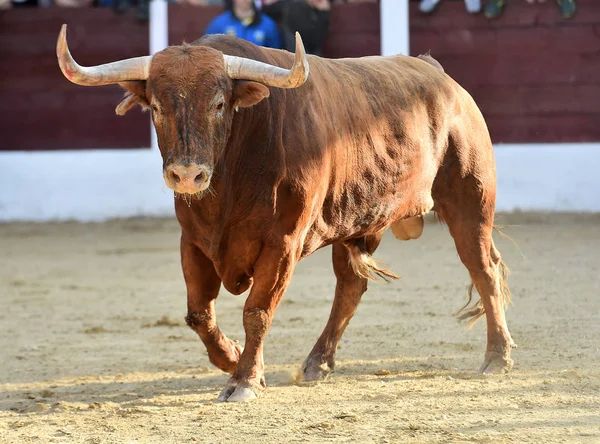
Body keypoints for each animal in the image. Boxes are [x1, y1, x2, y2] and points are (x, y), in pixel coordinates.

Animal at [57, 24, 516, 402]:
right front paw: (233, 358)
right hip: (357, 218)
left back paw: (497, 357)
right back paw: (317, 363)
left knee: (484, 268)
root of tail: (439, 75)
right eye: (155, 107)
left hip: (469, 201)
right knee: (350, 286)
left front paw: (243, 380)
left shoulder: (283, 243)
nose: (187, 175)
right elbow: (198, 314)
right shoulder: (194, 241)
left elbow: (257, 312)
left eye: (219, 104)